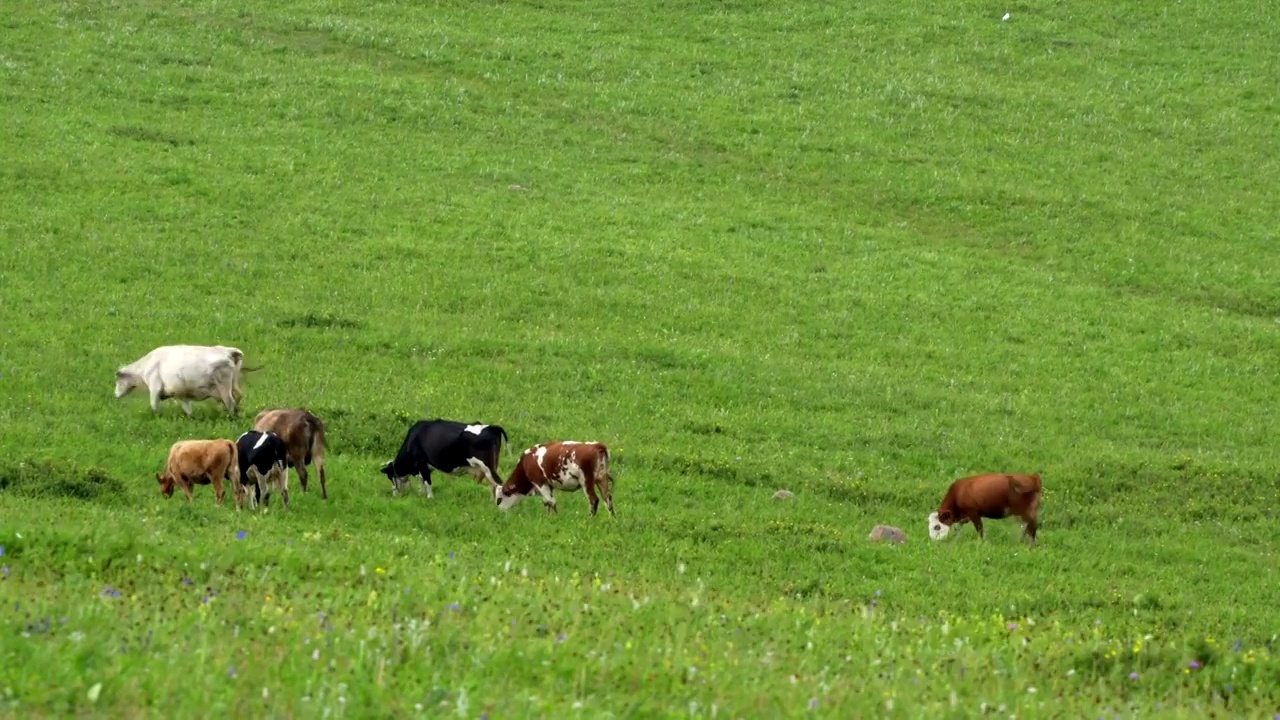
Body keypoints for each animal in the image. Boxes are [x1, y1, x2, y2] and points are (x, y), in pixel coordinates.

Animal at [115, 343, 262, 415]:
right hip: (233, 385)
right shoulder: (181, 393)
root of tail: (229, 351)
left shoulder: (155, 387)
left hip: (224, 387)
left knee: (230, 403)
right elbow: (187, 409)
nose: (115, 395)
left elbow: (154, 406)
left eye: (117, 381)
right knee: (237, 398)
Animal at [376, 417, 506, 497]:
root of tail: (493, 427)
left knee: (499, 484)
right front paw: (421, 494)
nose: (395, 495)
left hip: (488, 467)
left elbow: (428, 482)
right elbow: (422, 481)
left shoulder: (421, 462)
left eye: (390, 477)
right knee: (494, 486)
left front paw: (429, 498)